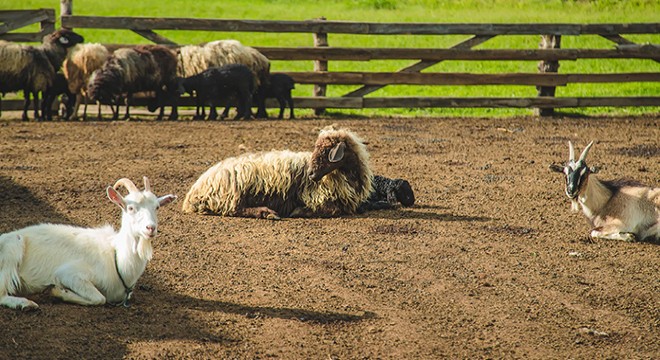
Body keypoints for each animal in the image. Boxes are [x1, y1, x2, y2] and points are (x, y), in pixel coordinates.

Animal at [0, 177, 177, 310]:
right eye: (131, 208)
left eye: (157, 207)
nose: (150, 228)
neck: (115, 256)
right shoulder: (69, 273)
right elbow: (100, 298)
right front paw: (58, 292)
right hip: (12, 249)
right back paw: (25, 304)